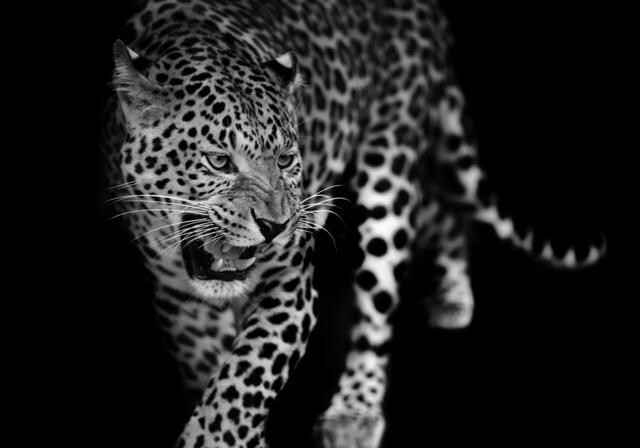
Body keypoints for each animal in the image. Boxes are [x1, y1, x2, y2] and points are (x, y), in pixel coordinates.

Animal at [100, 0, 607, 447]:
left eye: (285, 160)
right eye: (218, 161)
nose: (276, 226)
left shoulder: (291, 284)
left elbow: (243, 383)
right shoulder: (177, 299)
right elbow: (216, 374)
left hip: (389, 165)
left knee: (378, 303)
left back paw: (355, 411)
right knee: (440, 209)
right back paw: (452, 292)